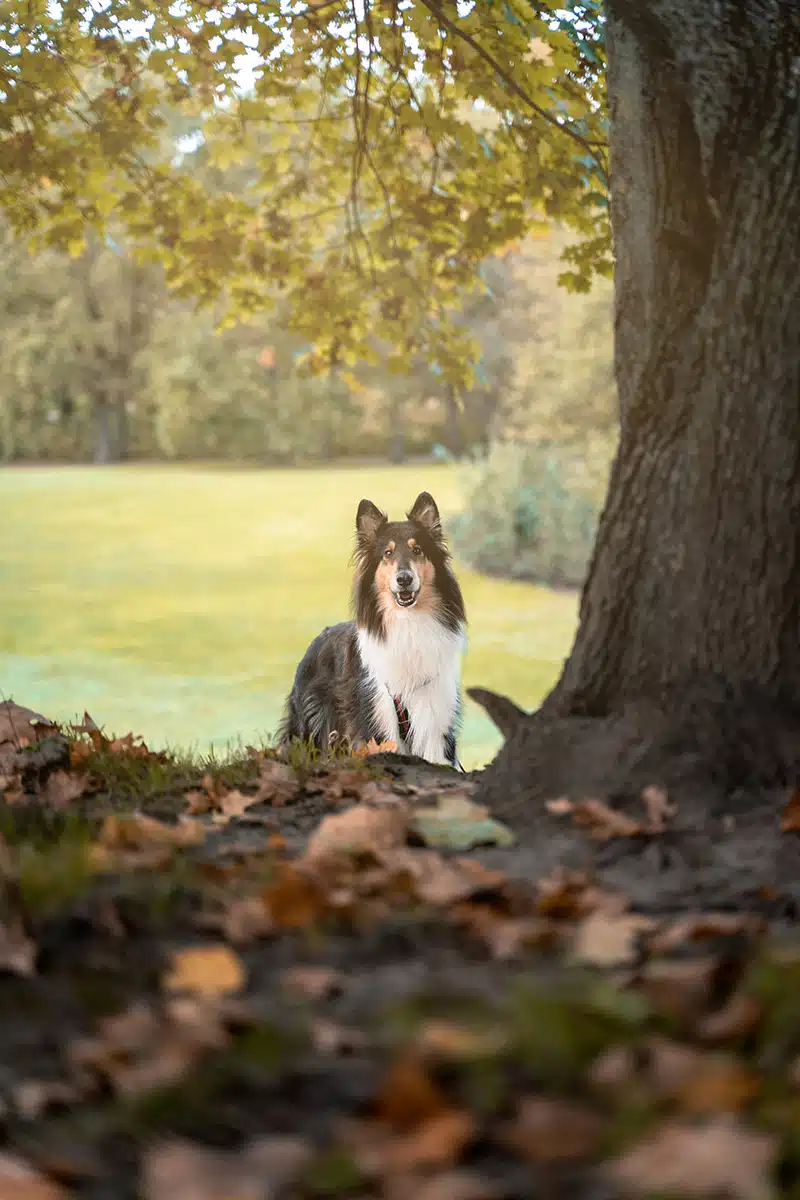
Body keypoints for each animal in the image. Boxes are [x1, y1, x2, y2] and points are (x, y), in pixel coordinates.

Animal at [281, 489, 470, 768]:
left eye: (417, 550)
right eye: (387, 553)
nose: (404, 579)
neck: (407, 622)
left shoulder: (434, 712)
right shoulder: (377, 712)